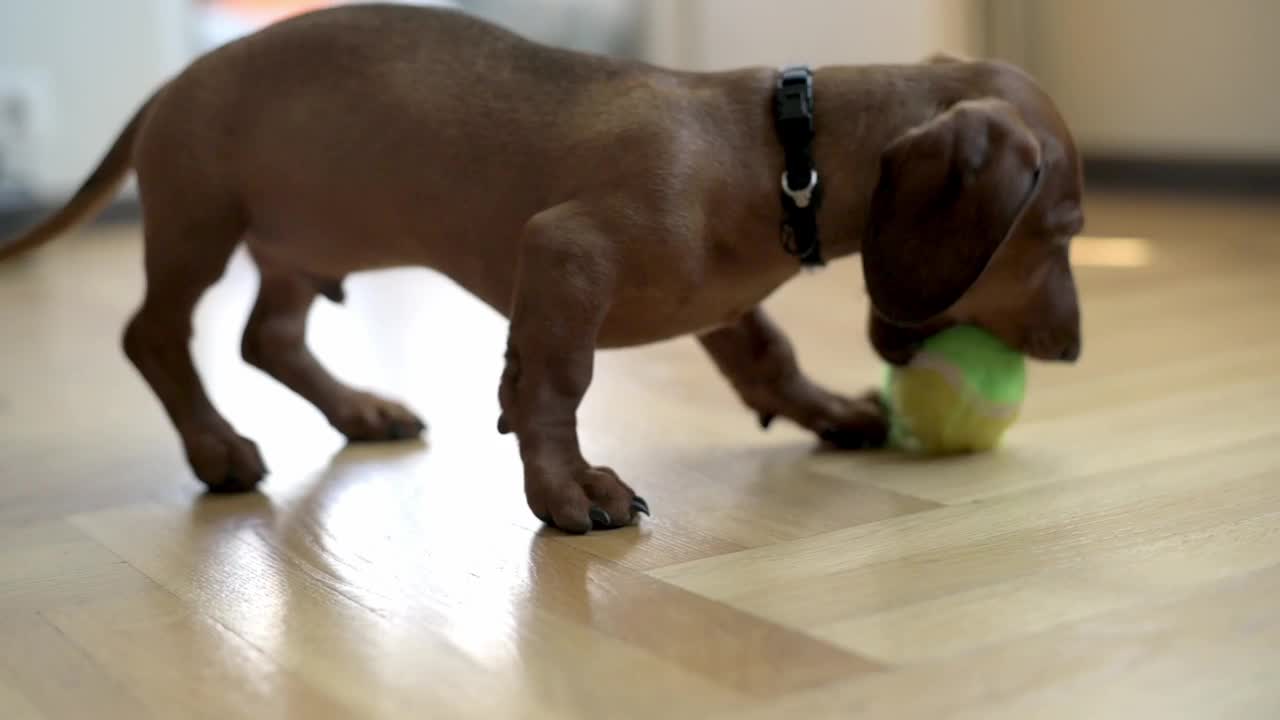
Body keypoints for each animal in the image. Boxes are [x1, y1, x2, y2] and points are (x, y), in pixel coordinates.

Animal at [0, 2, 1085, 530]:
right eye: (1063, 231)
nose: (1073, 352)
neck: (781, 152)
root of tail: (173, 82)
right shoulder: (564, 253)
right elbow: (555, 381)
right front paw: (571, 487)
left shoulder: (718, 301)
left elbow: (767, 359)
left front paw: (827, 409)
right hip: (198, 224)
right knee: (155, 335)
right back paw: (217, 447)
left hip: (301, 249)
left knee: (267, 339)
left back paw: (360, 409)